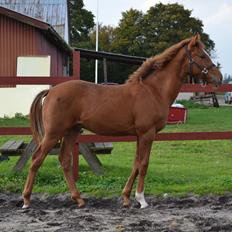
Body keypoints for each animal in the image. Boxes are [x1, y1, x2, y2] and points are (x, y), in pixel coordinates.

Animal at [22, 35, 223, 208]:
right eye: (202, 55)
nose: (219, 78)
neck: (153, 91)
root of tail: (51, 91)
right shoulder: (147, 134)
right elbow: (143, 164)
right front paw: (141, 199)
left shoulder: (139, 135)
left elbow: (136, 164)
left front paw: (126, 198)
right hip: (53, 133)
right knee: (36, 160)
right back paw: (26, 200)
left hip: (72, 131)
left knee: (64, 160)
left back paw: (78, 199)